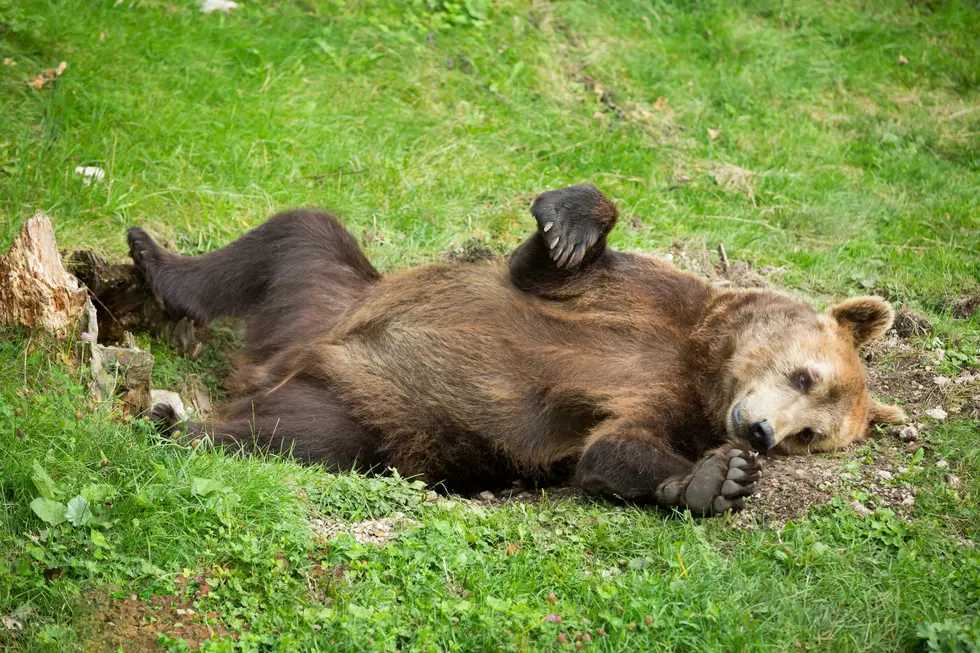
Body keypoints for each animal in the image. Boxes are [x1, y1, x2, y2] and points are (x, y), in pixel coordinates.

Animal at [128, 183, 904, 516]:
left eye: (810, 437)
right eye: (804, 375)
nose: (762, 433)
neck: (701, 360)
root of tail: (274, 365)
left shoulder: (666, 404)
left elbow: (612, 448)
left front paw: (717, 479)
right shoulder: (640, 298)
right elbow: (546, 267)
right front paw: (570, 220)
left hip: (374, 416)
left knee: (297, 437)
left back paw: (180, 423)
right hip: (332, 297)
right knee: (298, 232)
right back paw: (152, 257)